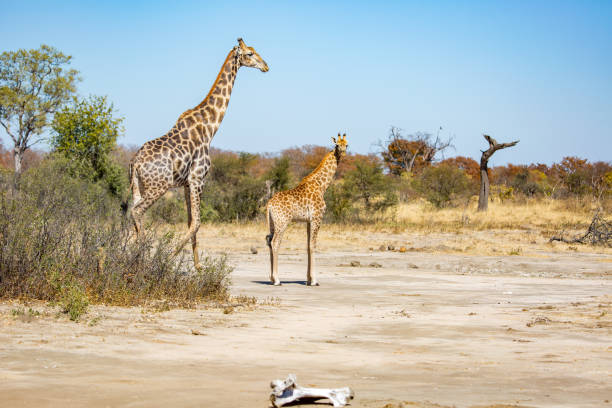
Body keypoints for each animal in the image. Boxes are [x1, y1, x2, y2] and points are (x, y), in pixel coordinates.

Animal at [129, 37, 268, 268]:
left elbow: (190, 221)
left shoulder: (187, 183)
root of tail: (136, 163)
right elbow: (197, 223)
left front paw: (198, 267)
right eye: (249, 53)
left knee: (130, 217)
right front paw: (171, 259)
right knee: (137, 212)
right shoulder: (198, 179)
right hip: (159, 186)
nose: (266, 66)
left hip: (137, 186)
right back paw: (142, 258)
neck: (210, 128)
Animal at [264, 132, 346, 286]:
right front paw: (314, 281)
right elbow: (313, 245)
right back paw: (277, 280)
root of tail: (269, 204)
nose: (342, 153)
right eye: (337, 145)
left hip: (272, 222)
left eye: (347, 145)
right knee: (275, 242)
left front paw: (308, 279)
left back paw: (271, 278)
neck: (322, 186)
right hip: (282, 222)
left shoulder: (309, 220)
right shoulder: (317, 217)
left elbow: (308, 245)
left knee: (269, 241)